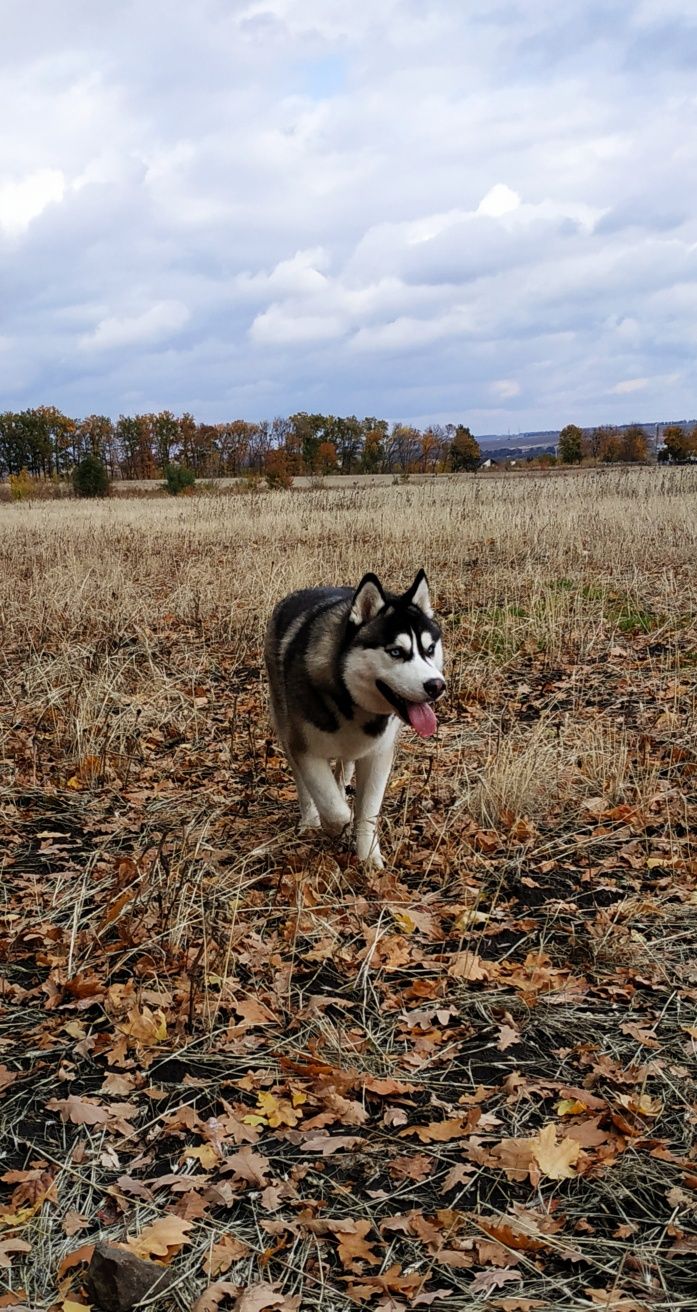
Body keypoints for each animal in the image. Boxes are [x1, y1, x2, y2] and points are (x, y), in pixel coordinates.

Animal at [265, 569, 443, 865]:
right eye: (396, 652)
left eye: (429, 649)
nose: (437, 686)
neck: (350, 700)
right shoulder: (305, 750)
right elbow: (332, 807)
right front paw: (339, 823)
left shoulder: (378, 755)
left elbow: (367, 812)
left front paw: (369, 857)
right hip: (285, 726)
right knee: (305, 786)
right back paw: (310, 820)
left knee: (343, 770)